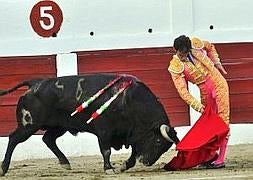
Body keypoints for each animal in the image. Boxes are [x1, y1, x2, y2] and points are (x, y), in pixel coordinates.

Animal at [0, 73, 178, 174]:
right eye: (157, 141)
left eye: (165, 147)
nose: (146, 162)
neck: (128, 100)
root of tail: (35, 83)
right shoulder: (105, 131)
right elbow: (106, 150)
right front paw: (109, 169)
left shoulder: (132, 134)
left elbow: (133, 154)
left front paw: (123, 166)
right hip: (29, 125)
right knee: (14, 138)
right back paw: (3, 169)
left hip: (59, 126)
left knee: (48, 139)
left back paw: (65, 163)